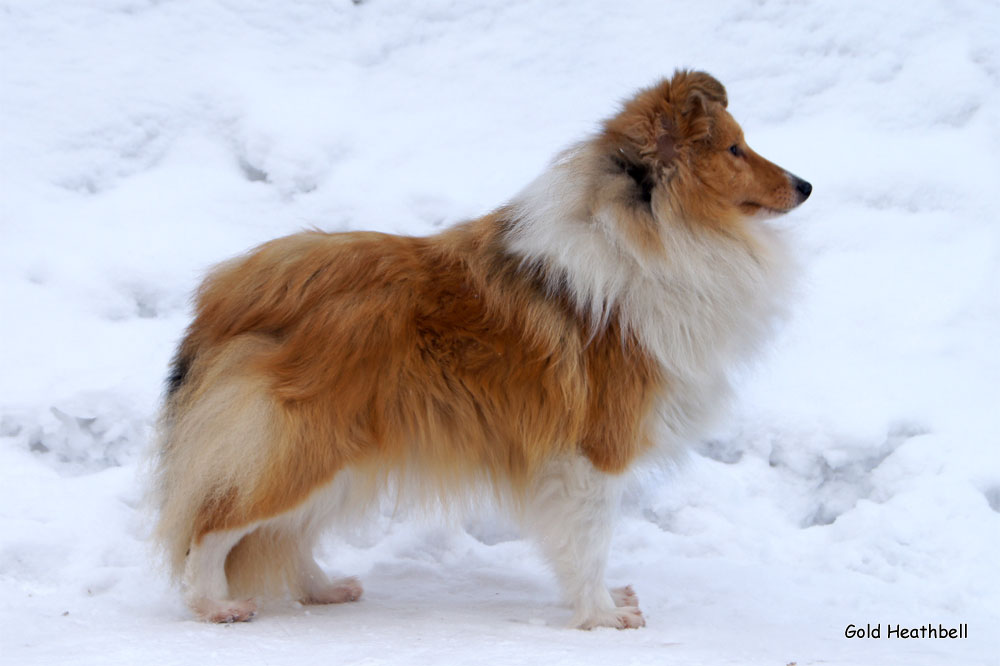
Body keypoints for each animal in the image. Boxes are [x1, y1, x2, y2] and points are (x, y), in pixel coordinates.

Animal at [154, 71, 812, 628]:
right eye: (735, 149)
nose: (806, 185)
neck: (651, 233)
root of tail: (231, 288)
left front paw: (601, 605)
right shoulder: (595, 450)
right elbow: (591, 540)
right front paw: (602, 615)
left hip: (341, 449)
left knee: (282, 532)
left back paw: (322, 588)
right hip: (304, 442)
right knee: (214, 526)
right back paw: (214, 605)